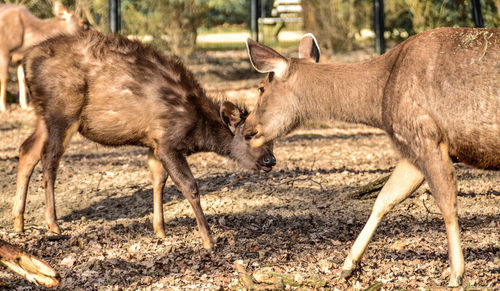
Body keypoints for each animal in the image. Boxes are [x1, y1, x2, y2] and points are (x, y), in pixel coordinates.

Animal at [12, 30, 278, 251]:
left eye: (273, 139)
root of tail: (27, 60)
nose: (271, 160)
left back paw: (18, 222)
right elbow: (189, 187)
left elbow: (158, 181)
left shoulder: (154, 144)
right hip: (62, 111)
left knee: (27, 149)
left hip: (44, 115)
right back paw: (53, 224)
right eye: (249, 135)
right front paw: (208, 240)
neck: (196, 130)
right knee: (49, 159)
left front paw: (160, 230)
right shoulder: (167, 141)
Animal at [245, 27, 500, 288]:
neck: (378, 104)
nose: (247, 131)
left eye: (261, 88)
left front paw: (456, 274)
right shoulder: (412, 151)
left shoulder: (428, 137)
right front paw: (347, 266)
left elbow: (447, 204)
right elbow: (384, 199)